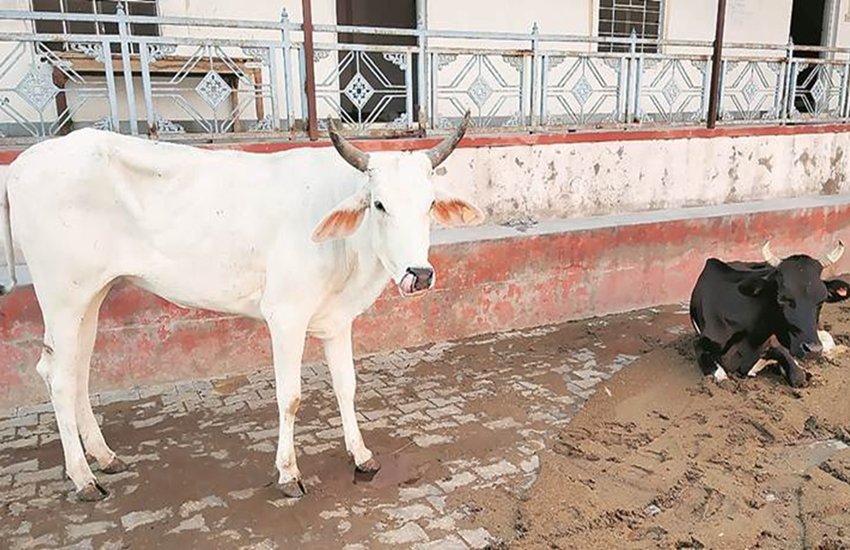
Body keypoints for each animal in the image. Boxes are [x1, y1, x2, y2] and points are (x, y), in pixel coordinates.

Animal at [0, 112, 483, 502]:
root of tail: (21, 165)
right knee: (58, 377)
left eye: (430, 205)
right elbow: (291, 397)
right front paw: (288, 473)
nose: (419, 273)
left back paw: (103, 456)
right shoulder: (285, 316)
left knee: (79, 370)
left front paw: (361, 455)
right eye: (379, 204)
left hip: (92, 296)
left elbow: (346, 387)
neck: (350, 252)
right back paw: (83, 478)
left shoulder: (336, 320)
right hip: (62, 295)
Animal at [689, 240, 850, 387]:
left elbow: (798, 374)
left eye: (821, 300)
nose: (813, 350)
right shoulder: (700, 343)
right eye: (783, 299)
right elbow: (722, 377)